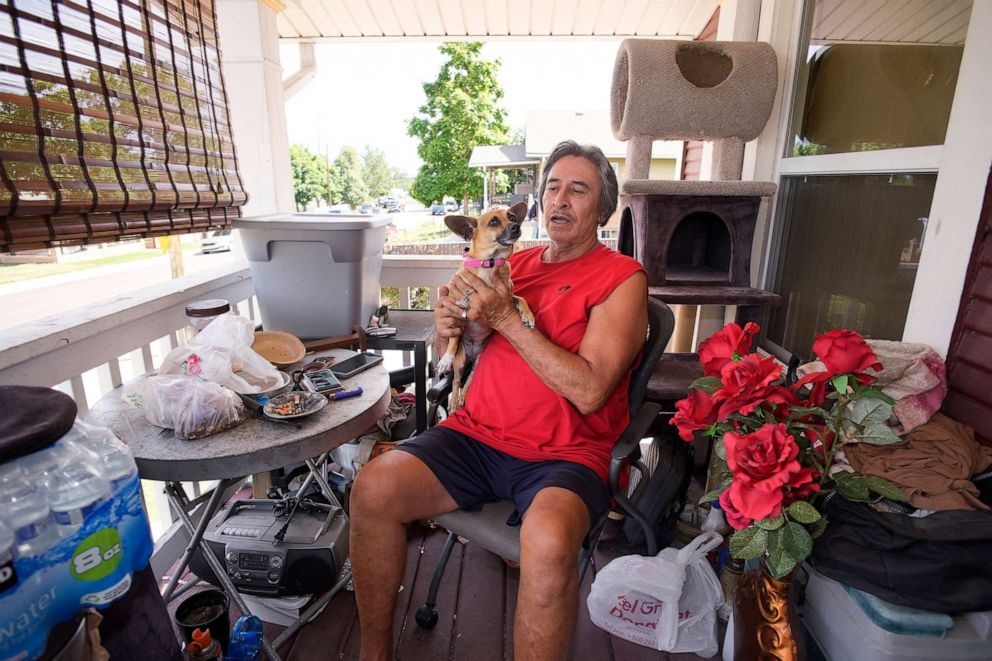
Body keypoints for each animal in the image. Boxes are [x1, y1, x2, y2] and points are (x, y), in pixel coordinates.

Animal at [438, 199, 536, 410]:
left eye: (512, 217)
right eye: (493, 221)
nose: (516, 227)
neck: (490, 266)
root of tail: (472, 354)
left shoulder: (508, 297)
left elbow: (521, 298)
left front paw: (528, 316)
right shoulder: (457, 306)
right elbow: (453, 338)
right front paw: (446, 357)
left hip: (478, 362)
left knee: (470, 380)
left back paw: (463, 397)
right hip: (460, 362)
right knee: (457, 380)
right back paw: (453, 401)